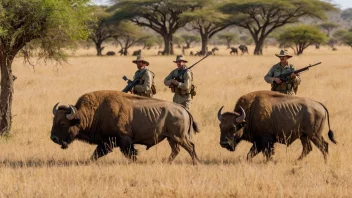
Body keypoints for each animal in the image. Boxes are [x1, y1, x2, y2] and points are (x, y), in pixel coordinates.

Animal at [49, 90, 199, 165]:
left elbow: (130, 154)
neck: (95, 112)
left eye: (63, 123)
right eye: (54, 120)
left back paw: (195, 162)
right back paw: (167, 162)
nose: (53, 138)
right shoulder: (106, 142)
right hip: (171, 138)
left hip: (179, 137)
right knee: (176, 150)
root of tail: (183, 109)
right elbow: (96, 154)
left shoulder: (124, 140)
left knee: (190, 147)